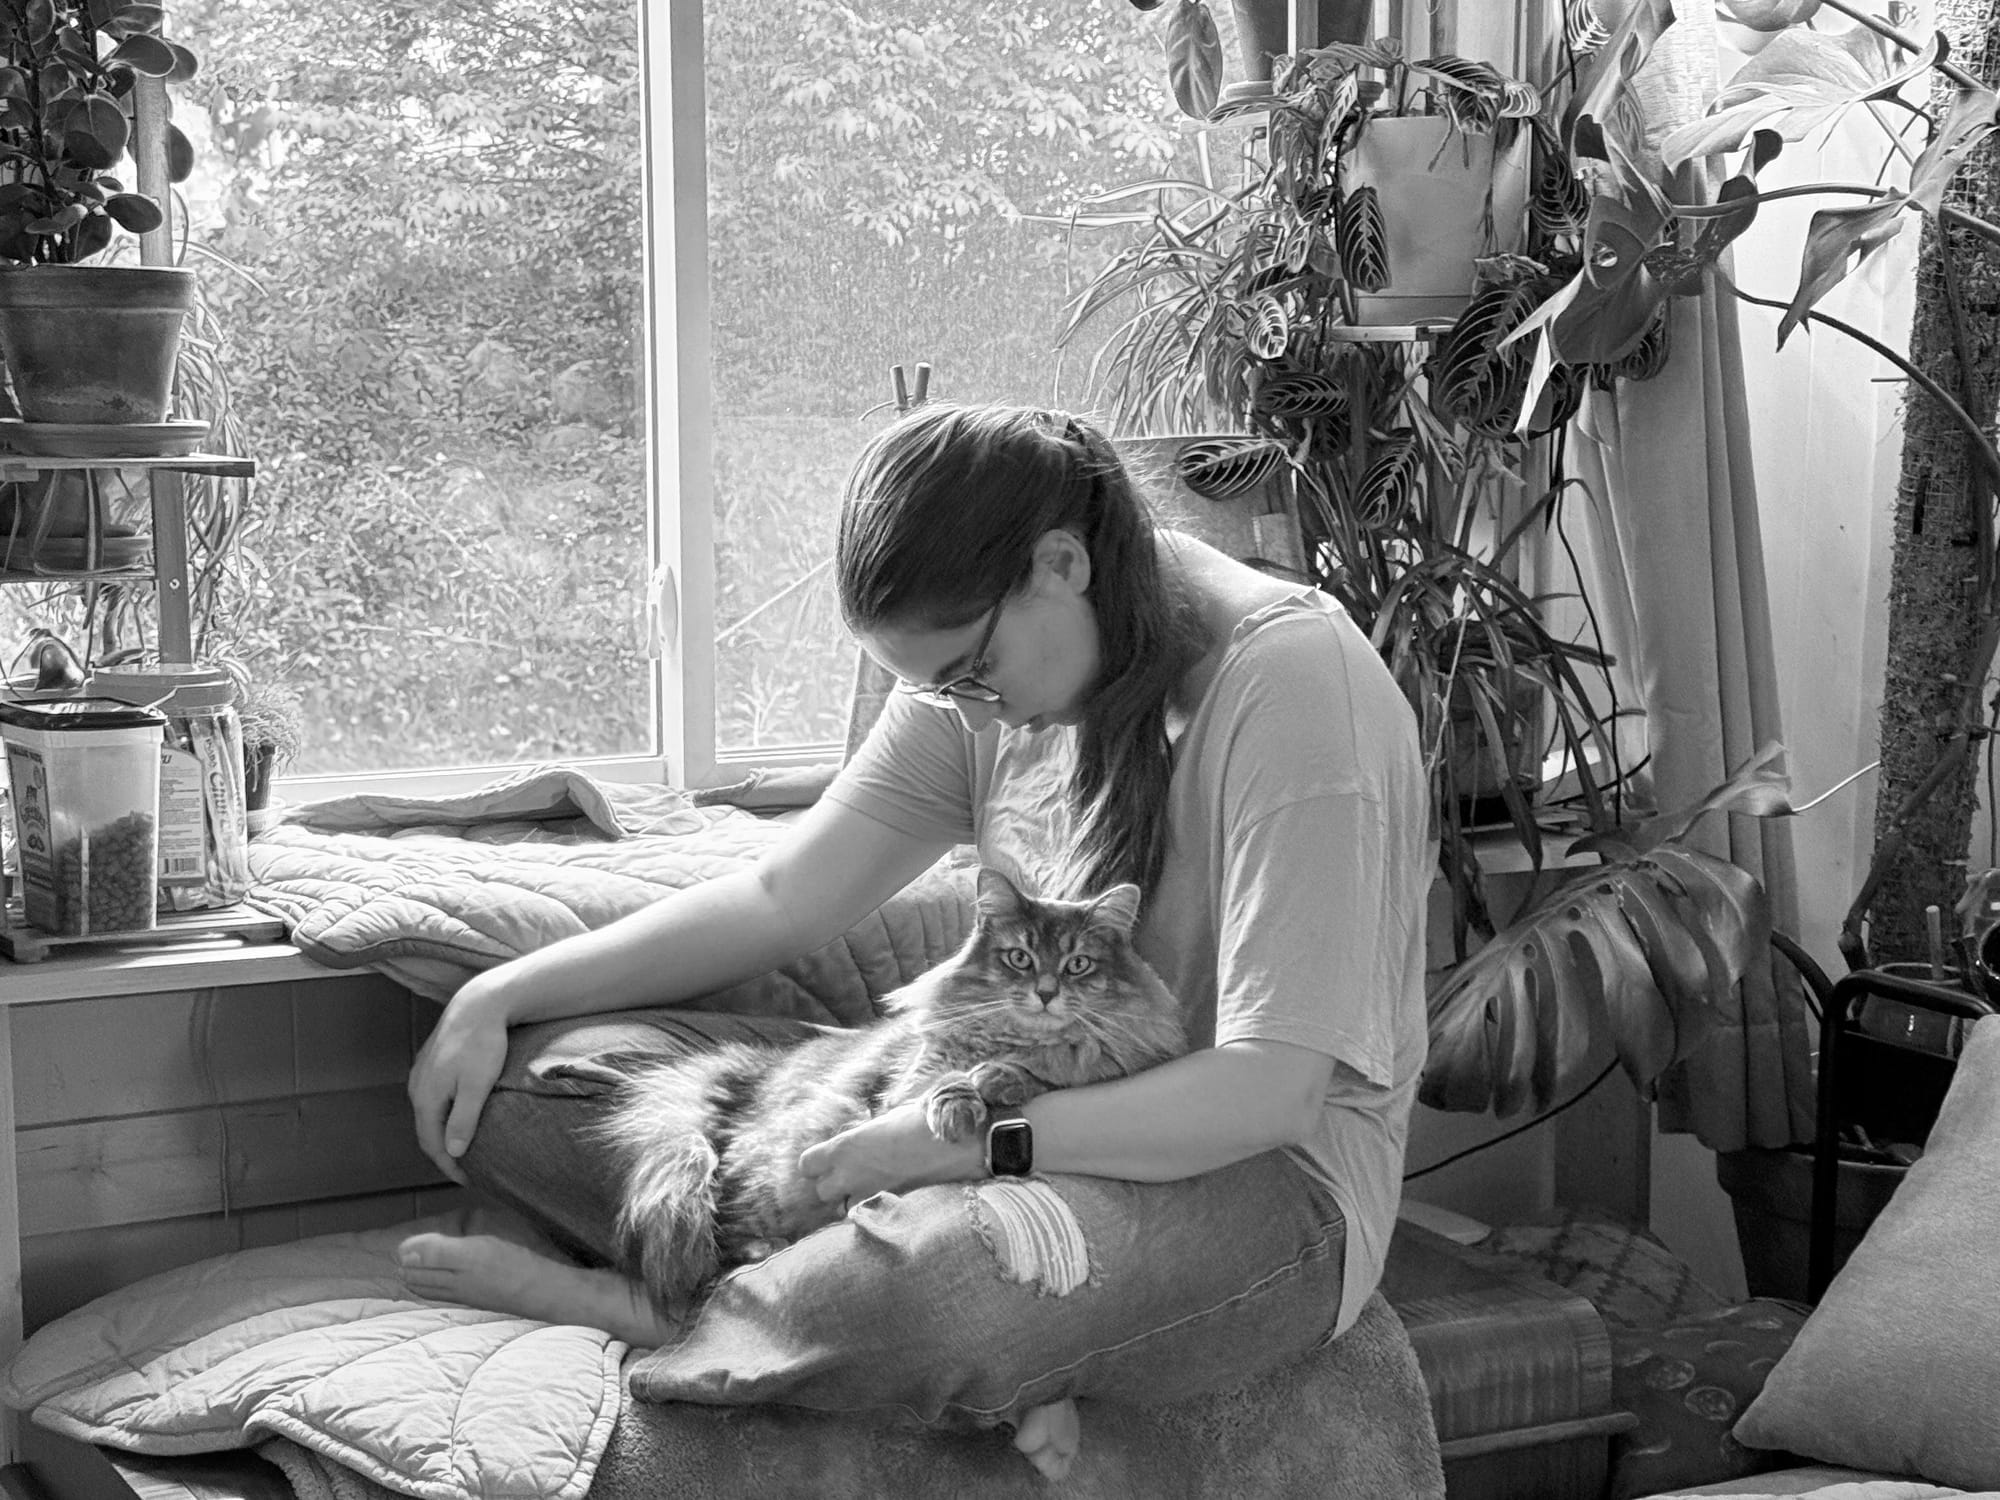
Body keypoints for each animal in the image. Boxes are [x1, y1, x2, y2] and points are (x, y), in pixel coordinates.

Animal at [596, 864, 1189, 1313]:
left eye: (1078, 965)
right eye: (1019, 958)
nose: (1045, 993)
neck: (1017, 1037)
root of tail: (755, 1076)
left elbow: (1047, 1069)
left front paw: (1003, 1075)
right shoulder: (910, 1081)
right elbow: (946, 1078)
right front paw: (961, 1102)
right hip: (770, 1177)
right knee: (721, 1226)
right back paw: (762, 1248)